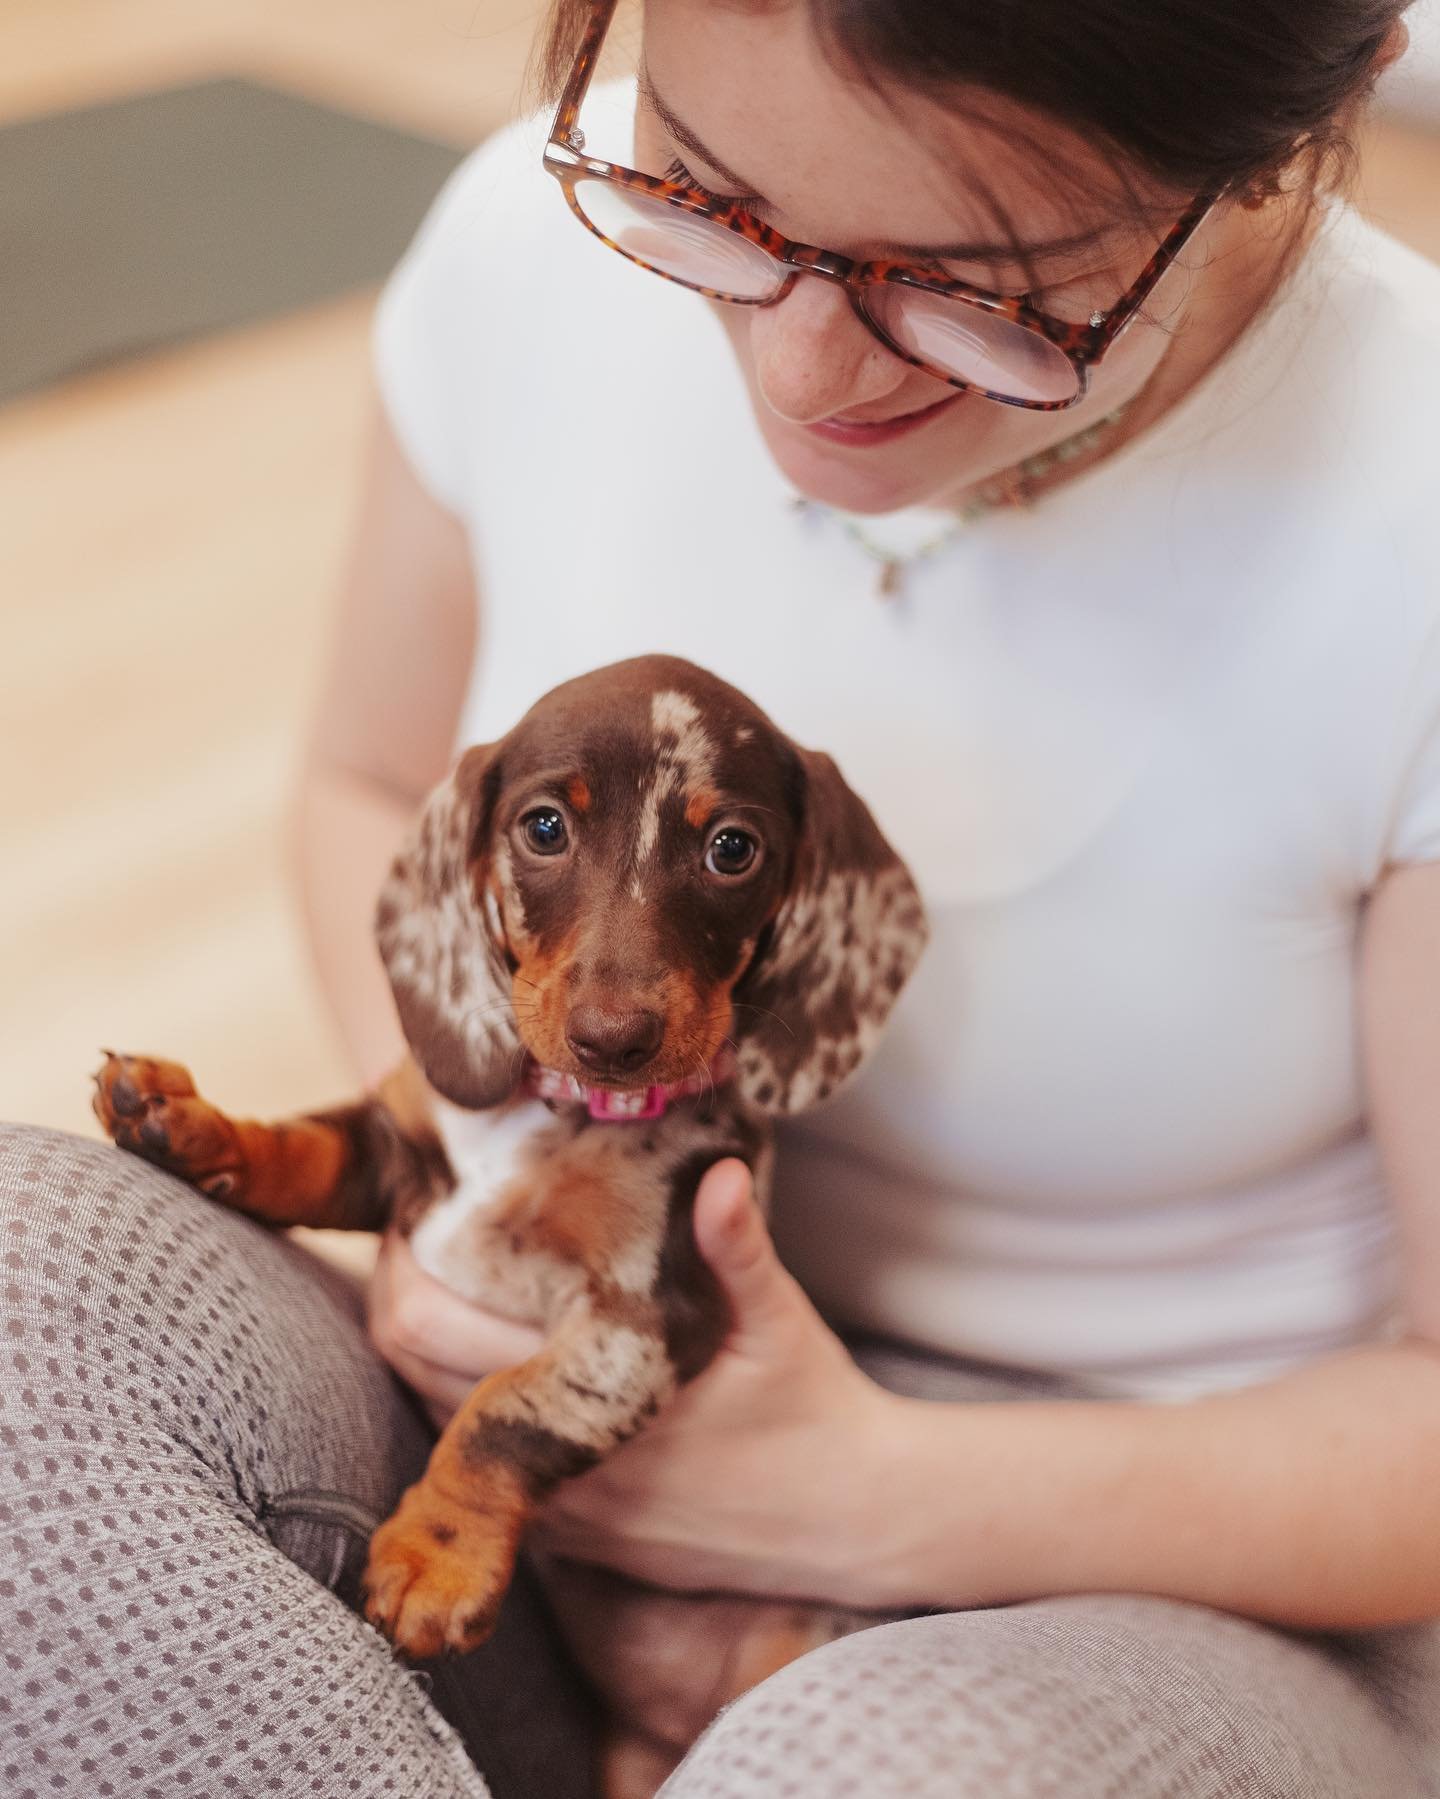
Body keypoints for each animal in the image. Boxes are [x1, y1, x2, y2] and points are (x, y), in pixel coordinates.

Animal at [90, 658, 928, 1683]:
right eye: (544, 827)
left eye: (732, 848)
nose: (614, 1038)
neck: (562, 1112)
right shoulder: (399, 1154)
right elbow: (303, 1148)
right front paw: (189, 1124)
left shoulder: (647, 1312)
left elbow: (508, 1409)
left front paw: (437, 1557)